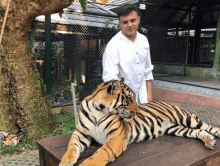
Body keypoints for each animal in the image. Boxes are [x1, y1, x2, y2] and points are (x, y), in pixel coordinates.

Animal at [58, 80, 220, 165]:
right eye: (129, 98)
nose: (137, 112)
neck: (98, 111)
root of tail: (175, 104)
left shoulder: (116, 137)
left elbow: (101, 153)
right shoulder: (81, 133)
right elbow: (72, 146)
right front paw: (66, 161)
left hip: (186, 118)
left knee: (209, 127)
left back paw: (213, 137)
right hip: (176, 128)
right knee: (197, 131)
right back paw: (209, 141)